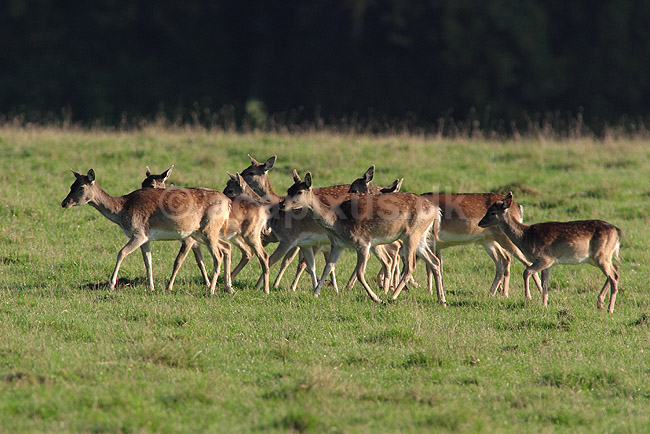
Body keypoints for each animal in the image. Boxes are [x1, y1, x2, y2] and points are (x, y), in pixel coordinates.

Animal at [62, 169, 232, 295]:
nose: (64, 203)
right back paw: (228, 288)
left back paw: (211, 290)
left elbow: (121, 253)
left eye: (81, 187)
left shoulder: (138, 233)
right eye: (71, 185)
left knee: (218, 256)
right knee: (226, 247)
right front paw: (151, 287)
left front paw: (111, 285)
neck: (121, 211)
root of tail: (228, 202)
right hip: (201, 233)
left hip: (209, 229)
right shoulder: (146, 238)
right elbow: (148, 261)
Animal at [142, 167, 271, 293]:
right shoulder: (196, 242)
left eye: (152, 185)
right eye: (143, 183)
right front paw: (208, 283)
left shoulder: (188, 239)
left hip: (250, 233)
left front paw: (169, 286)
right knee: (245, 251)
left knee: (263, 255)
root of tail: (263, 211)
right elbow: (200, 262)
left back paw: (265, 290)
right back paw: (230, 286)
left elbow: (178, 261)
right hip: (236, 236)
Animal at [281, 171, 445, 304]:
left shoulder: (363, 242)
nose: (282, 205)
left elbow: (360, 273)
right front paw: (315, 294)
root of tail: (436, 210)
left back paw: (392, 296)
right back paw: (441, 299)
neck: (336, 222)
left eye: (300, 191)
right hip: (421, 236)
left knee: (411, 266)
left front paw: (376, 298)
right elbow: (328, 267)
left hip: (411, 234)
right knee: (434, 261)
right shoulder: (337, 244)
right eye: (289, 189)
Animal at [478, 192, 621, 312]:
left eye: (492, 212)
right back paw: (600, 303)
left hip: (601, 255)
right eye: (487, 210)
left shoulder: (545, 257)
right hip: (597, 257)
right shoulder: (549, 264)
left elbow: (526, 272)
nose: (480, 223)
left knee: (613, 277)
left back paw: (610, 308)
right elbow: (545, 284)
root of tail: (618, 232)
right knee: (615, 270)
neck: (525, 237)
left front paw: (527, 297)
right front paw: (544, 304)